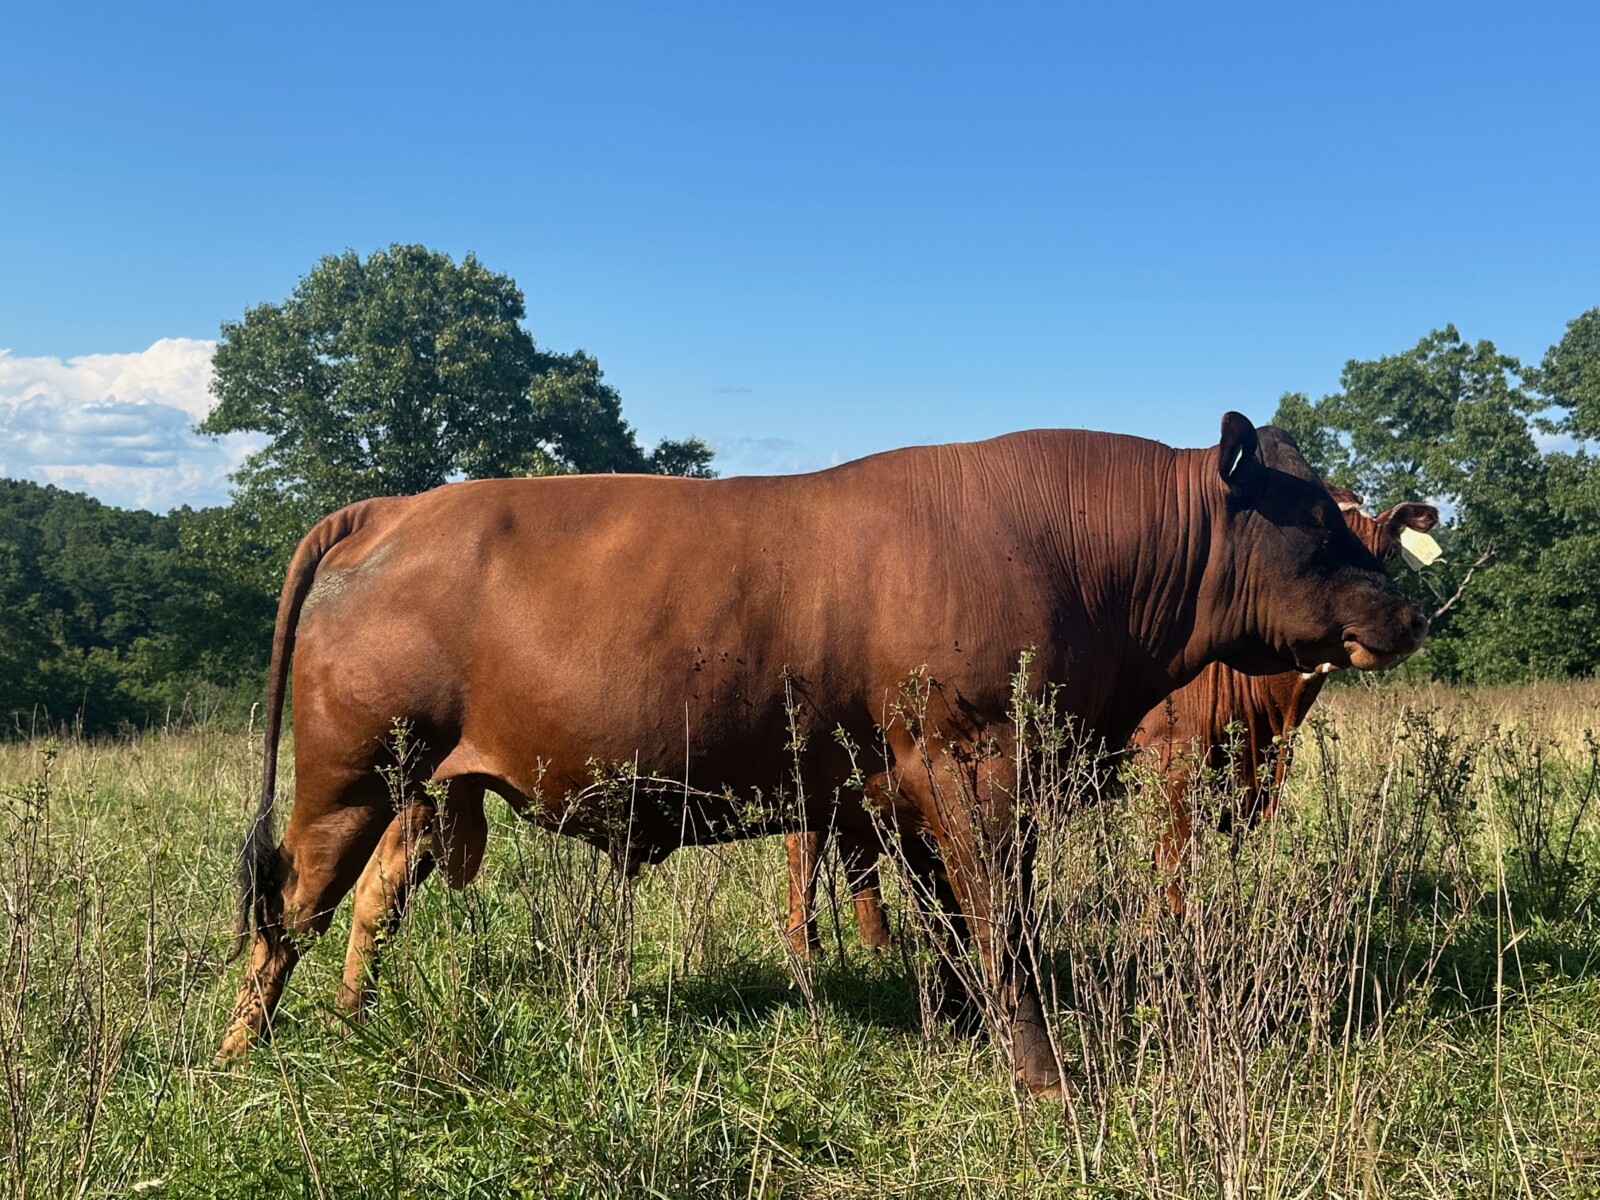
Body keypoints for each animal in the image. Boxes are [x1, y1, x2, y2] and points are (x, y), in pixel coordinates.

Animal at [781, 488, 1440, 952]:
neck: (1267, 713)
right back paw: (804, 944)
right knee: (805, 840)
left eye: (1383, 552)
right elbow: (1174, 862)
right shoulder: (1170, 766)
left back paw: (877, 940)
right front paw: (1166, 937)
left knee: (854, 840)